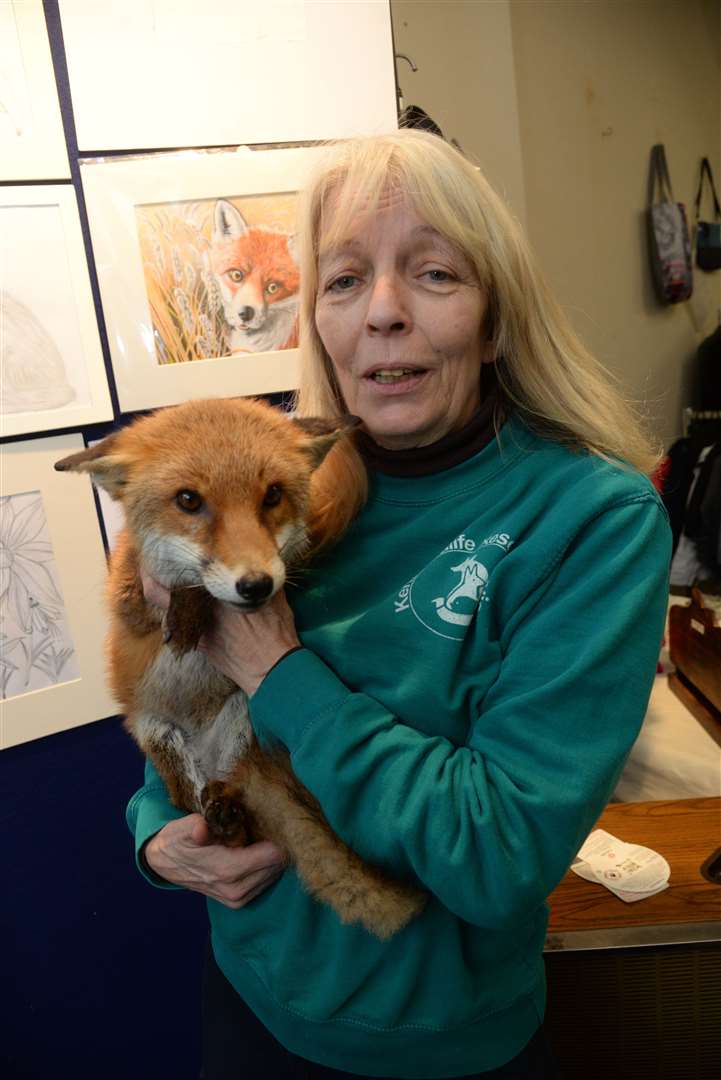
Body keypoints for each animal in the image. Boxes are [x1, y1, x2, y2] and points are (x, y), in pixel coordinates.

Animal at [57, 397, 427, 937]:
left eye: (272, 495)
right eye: (188, 500)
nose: (255, 586)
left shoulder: (290, 576)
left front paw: (195, 608)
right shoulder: (129, 598)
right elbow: (178, 589)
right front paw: (188, 607)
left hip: (243, 719)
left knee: (239, 819)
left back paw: (231, 818)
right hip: (161, 739)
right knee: (193, 809)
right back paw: (220, 821)